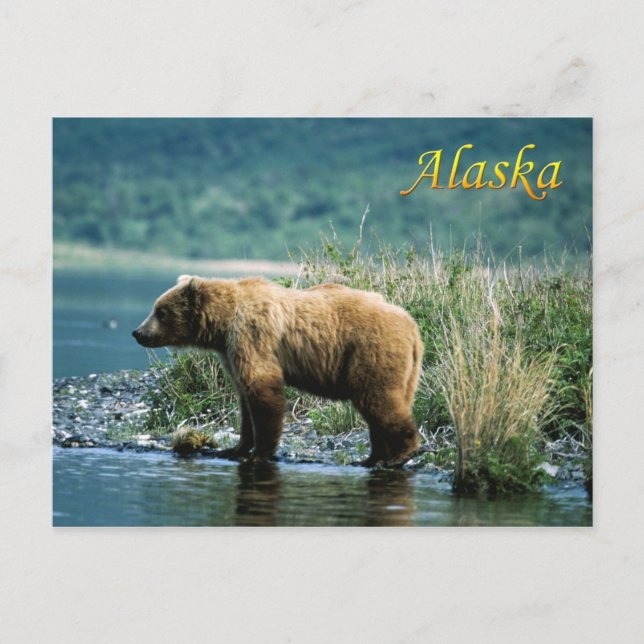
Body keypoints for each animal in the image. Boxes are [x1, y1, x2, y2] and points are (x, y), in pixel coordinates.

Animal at [132, 275, 423, 467]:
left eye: (161, 312)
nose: (138, 332)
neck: (223, 326)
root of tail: (412, 325)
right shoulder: (230, 352)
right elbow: (245, 402)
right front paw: (235, 448)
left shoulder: (252, 336)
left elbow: (262, 390)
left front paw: (259, 453)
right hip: (405, 369)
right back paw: (371, 458)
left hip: (371, 351)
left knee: (378, 400)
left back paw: (401, 454)